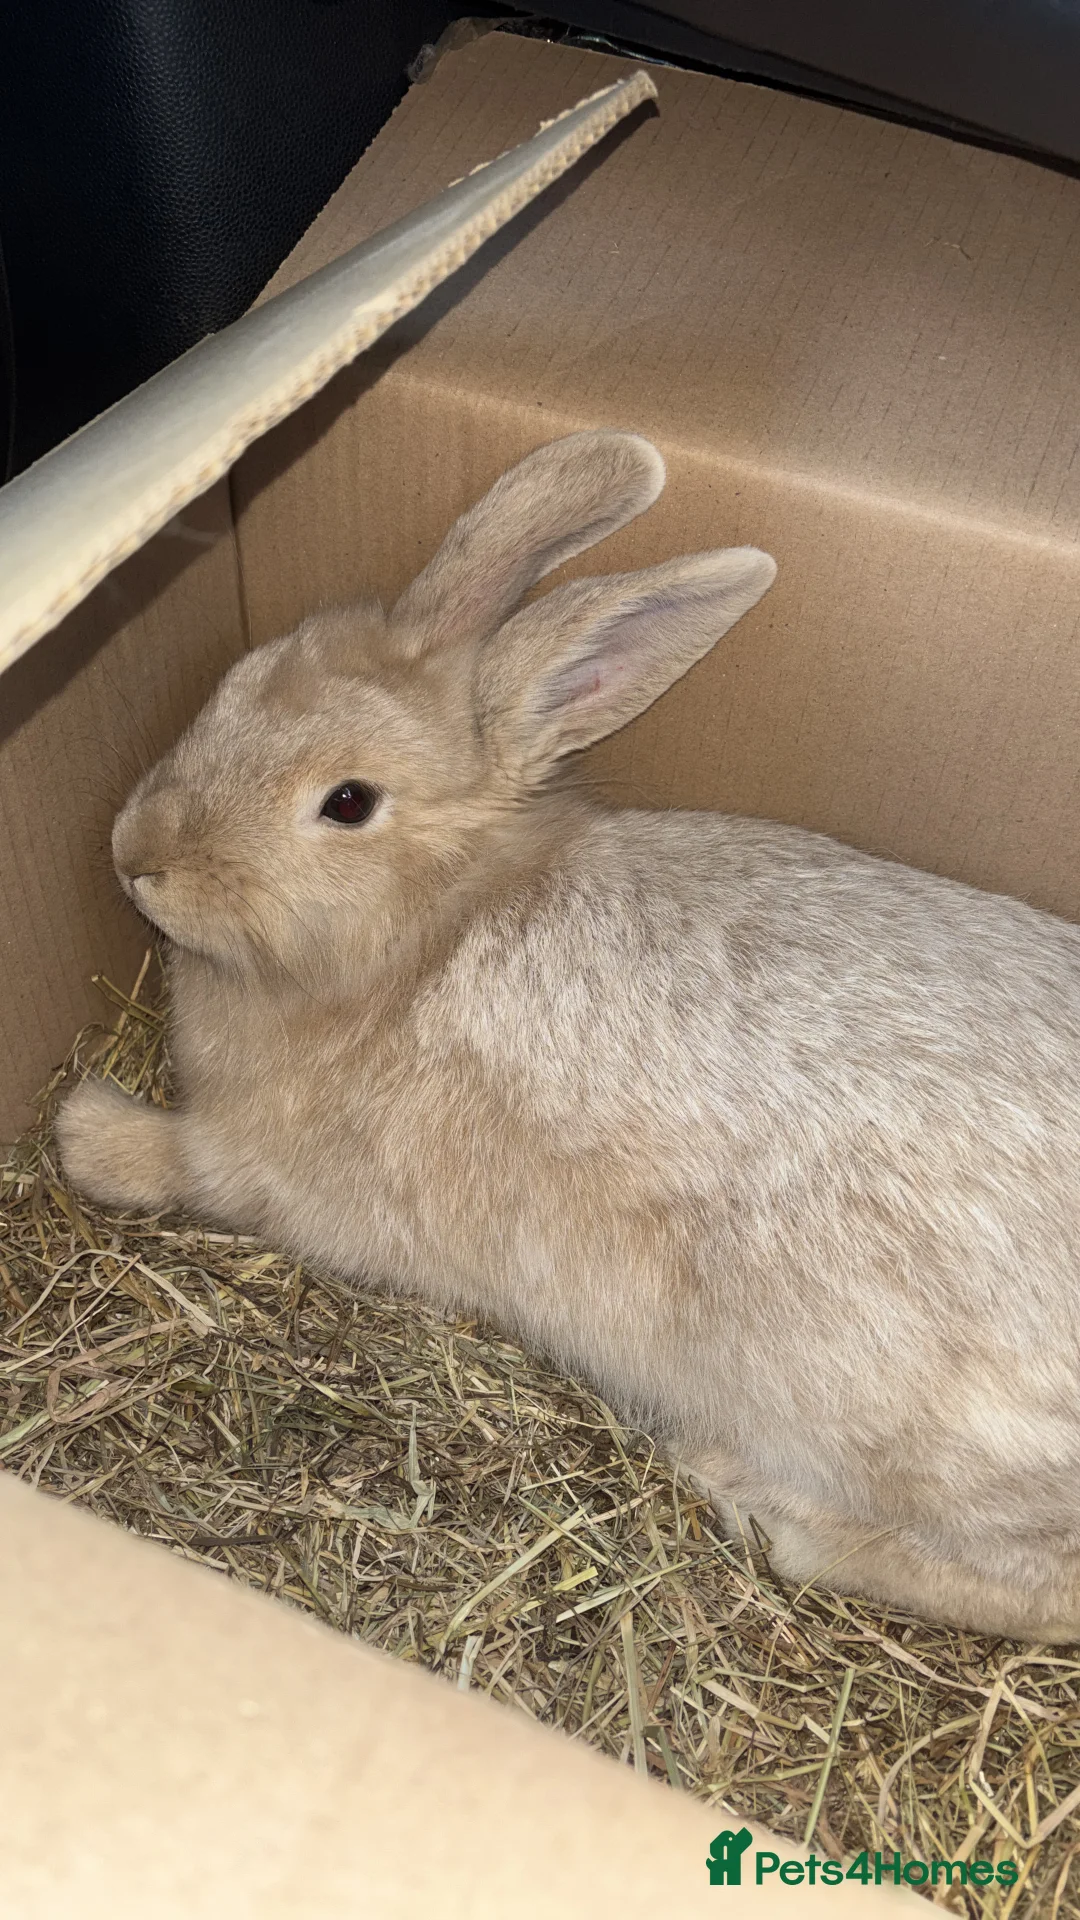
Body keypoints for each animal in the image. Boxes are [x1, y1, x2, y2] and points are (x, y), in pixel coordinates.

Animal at [57, 429, 1080, 1643]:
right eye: (245, 676)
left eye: (347, 802)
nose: (136, 856)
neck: (423, 931)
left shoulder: (275, 1174)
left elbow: (183, 1166)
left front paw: (80, 1132)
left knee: (1042, 1588)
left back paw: (768, 1504)